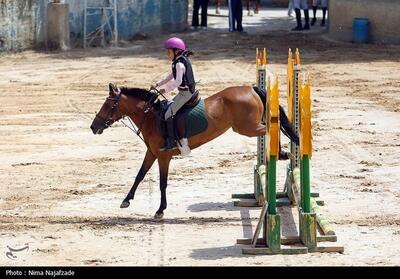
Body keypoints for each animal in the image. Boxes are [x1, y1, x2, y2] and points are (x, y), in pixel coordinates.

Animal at [90, 84, 296, 220]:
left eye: (108, 105)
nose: (93, 127)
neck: (150, 117)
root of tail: (251, 88)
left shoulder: (163, 157)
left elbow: (162, 184)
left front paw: (160, 210)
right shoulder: (152, 153)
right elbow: (139, 175)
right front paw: (126, 200)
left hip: (247, 128)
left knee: (272, 128)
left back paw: (281, 152)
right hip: (248, 127)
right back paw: (282, 153)